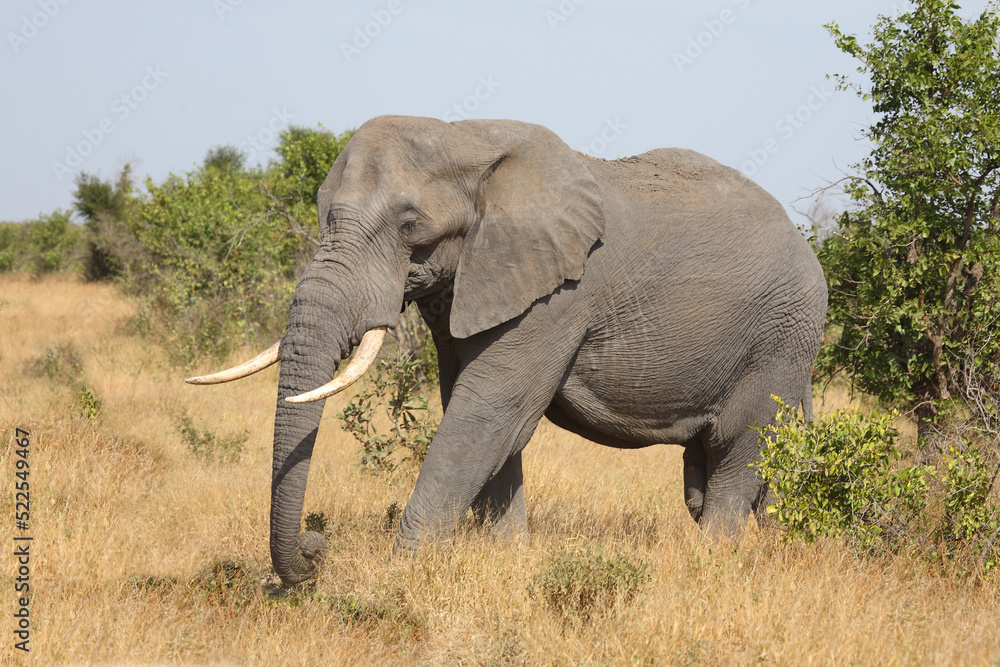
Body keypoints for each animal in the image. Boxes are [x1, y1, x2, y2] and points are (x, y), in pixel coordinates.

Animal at [188, 115, 827, 585]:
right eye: (322, 214)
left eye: (409, 225)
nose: (314, 550)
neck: (467, 138)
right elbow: (475, 411)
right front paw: (507, 557)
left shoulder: (560, 293)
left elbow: (490, 413)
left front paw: (403, 576)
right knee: (707, 468)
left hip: (782, 332)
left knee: (739, 445)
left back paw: (716, 559)